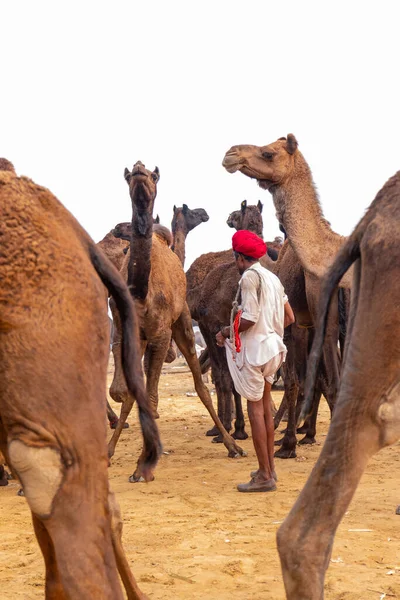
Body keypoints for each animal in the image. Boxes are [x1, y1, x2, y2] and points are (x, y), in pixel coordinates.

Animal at [106, 159, 244, 478]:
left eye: (154, 175)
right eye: (129, 175)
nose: (140, 170)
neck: (141, 294)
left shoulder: (161, 335)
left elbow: (149, 396)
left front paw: (142, 464)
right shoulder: (130, 334)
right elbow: (132, 395)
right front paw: (111, 452)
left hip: (181, 323)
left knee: (200, 383)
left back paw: (232, 445)